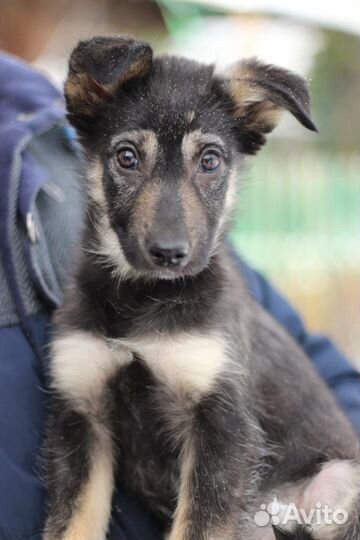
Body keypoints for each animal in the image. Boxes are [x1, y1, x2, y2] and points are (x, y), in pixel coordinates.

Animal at [43, 37, 358, 540]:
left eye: (209, 161)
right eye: (127, 157)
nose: (170, 253)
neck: (142, 300)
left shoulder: (222, 426)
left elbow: (200, 524)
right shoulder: (81, 415)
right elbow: (71, 523)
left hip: (338, 479)